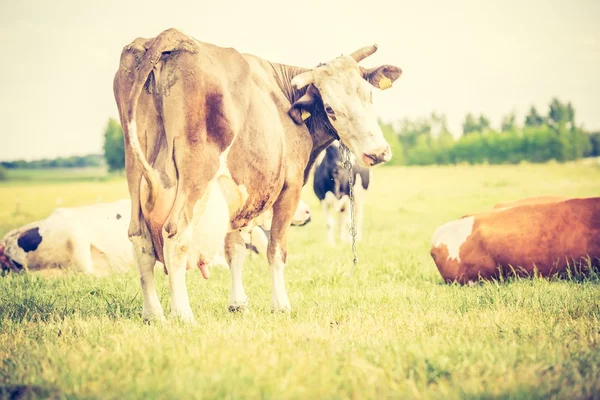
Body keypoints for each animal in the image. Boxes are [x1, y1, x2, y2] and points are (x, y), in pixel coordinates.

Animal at [113, 27, 404, 322]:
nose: (377, 153)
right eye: (331, 108)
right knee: (176, 237)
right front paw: (280, 304)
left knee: (140, 240)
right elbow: (275, 249)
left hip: (135, 178)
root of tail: (167, 35)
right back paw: (182, 314)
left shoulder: (236, 192)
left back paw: (152, 313)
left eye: (369, 95)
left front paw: (237, 303)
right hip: (195, 180)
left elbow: (235, 250)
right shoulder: (290, 187)